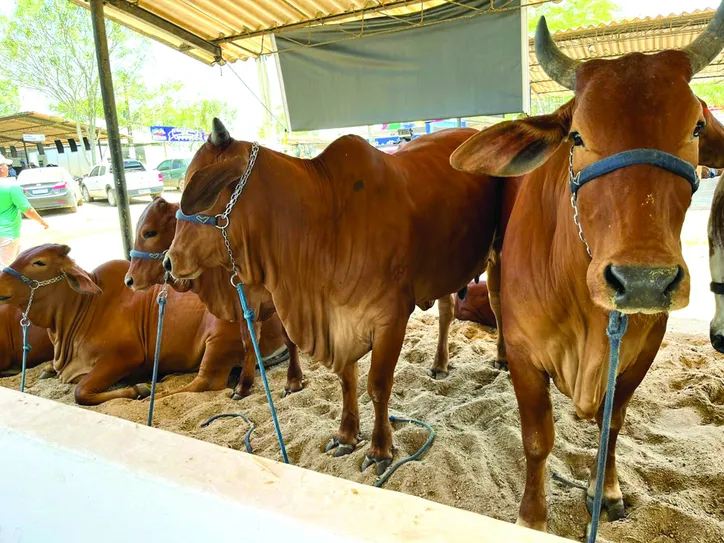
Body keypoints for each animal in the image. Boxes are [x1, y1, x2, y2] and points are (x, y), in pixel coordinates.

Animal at [0, 244, 288, 406]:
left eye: (39, 262)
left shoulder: (124, 356)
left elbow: (80, 393)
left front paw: (138, 388)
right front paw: (48, 369)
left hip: (217, 339)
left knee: (205, 382)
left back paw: (153, 394)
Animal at [124, 198, 302, 398]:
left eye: (149, 232)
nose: (129, 280)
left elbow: (280, 339)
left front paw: (290, 382)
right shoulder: (247, 303)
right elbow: (253, 341)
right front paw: (248, 386)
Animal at [164, 125, 504, 474]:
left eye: (201, 190)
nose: (169, 261)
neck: (326, 219)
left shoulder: (391, 318)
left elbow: (378, 385)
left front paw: (380, 450)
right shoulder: (339, 322)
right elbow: (347, 380)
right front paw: (346, 436)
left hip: (496, 255)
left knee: (496, 304)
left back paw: (500, 358)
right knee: (447, 311)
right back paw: (439, 364)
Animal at [450, 6, 724, 532]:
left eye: (697, 129)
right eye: (577, 135)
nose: (643, 281)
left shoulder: (641, 355)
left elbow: (611, 425)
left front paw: (608, 491)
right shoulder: (528, 356)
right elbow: (538, 440)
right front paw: (532, 518)